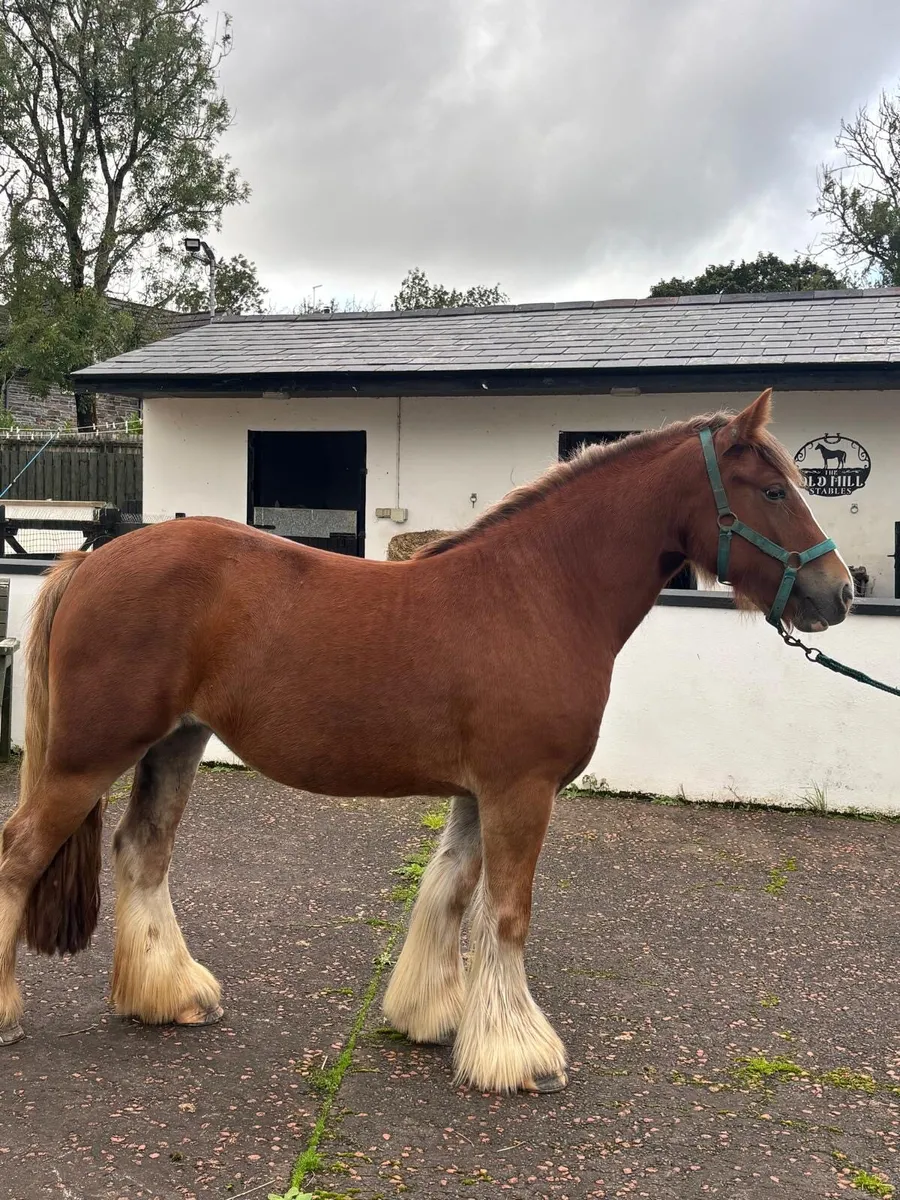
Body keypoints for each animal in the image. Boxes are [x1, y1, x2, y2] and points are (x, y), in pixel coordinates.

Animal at [0, 389, 852, 1095]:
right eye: (774, 491)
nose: (838, 592)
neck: (542, 590)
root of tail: (90, 561)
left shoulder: (482, 794)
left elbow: (450, 892)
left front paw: (433, 1017)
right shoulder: (521, 791)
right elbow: (507, 914)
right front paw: (520, 1056)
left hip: (174, 744)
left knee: (142, 852)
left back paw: (171, 996)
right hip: (87, 756)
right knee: (21, 853)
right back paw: (9, 1014)